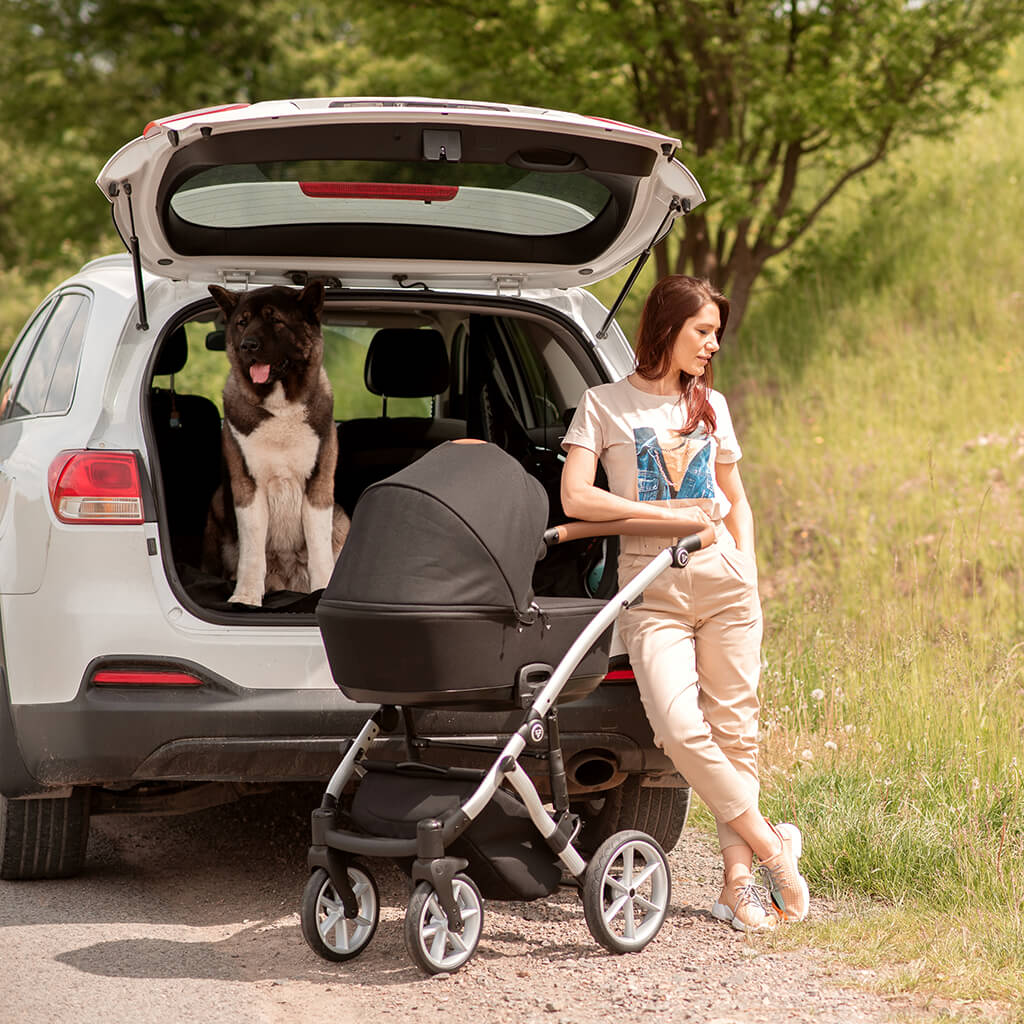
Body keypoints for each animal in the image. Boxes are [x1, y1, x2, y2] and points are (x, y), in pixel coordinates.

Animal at [201, 280, 350, 602]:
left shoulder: (318, 485)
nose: (248, 346)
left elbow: (319, 546)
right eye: (242, 323)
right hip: (219, 502)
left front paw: (323, 589)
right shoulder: (247, 486)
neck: (281, 407)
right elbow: (252, 550)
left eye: (275, 320)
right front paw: (246, 597)